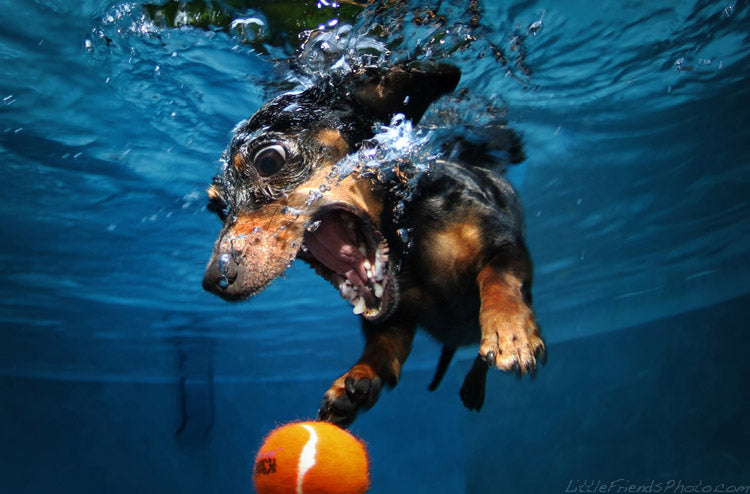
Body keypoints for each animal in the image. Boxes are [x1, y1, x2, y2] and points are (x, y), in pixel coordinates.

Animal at [204, 60, 548, 424]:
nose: (212, 280)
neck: (405, 238)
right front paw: (357, 379)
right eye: (217, 208)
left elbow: (497, 276)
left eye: (268, 160)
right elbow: (381, 349)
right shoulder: (394, 320)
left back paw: (476, 380)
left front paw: (510, 329)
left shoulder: (508, 247)